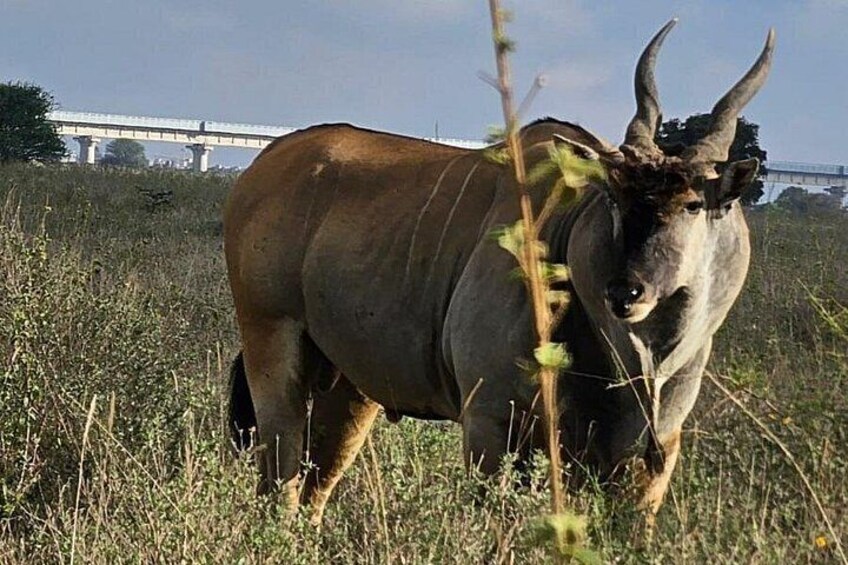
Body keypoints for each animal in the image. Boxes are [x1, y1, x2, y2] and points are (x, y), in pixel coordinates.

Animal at [224, 20, 774, 526]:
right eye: (614, 198)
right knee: (280, 475)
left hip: (349, 384)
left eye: (692, 204)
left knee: (315, 485)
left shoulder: (648, 457)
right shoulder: (493, 423)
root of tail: (265, 163)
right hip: (271, 344)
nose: (625, 291)